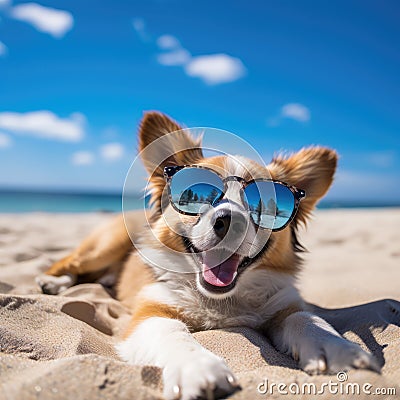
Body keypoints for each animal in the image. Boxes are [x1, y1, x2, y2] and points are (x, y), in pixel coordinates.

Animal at [37, 111, 378, 400]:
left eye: (265, 204)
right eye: (201, 195)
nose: (230, 221)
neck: (222, 300)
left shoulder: (285, 304)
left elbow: (308, 319)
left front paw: (338, 348)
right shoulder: (150, 312)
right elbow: (173, 333)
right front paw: (198, 369)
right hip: (106, 244)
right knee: (68, 263)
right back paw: (52, 283)